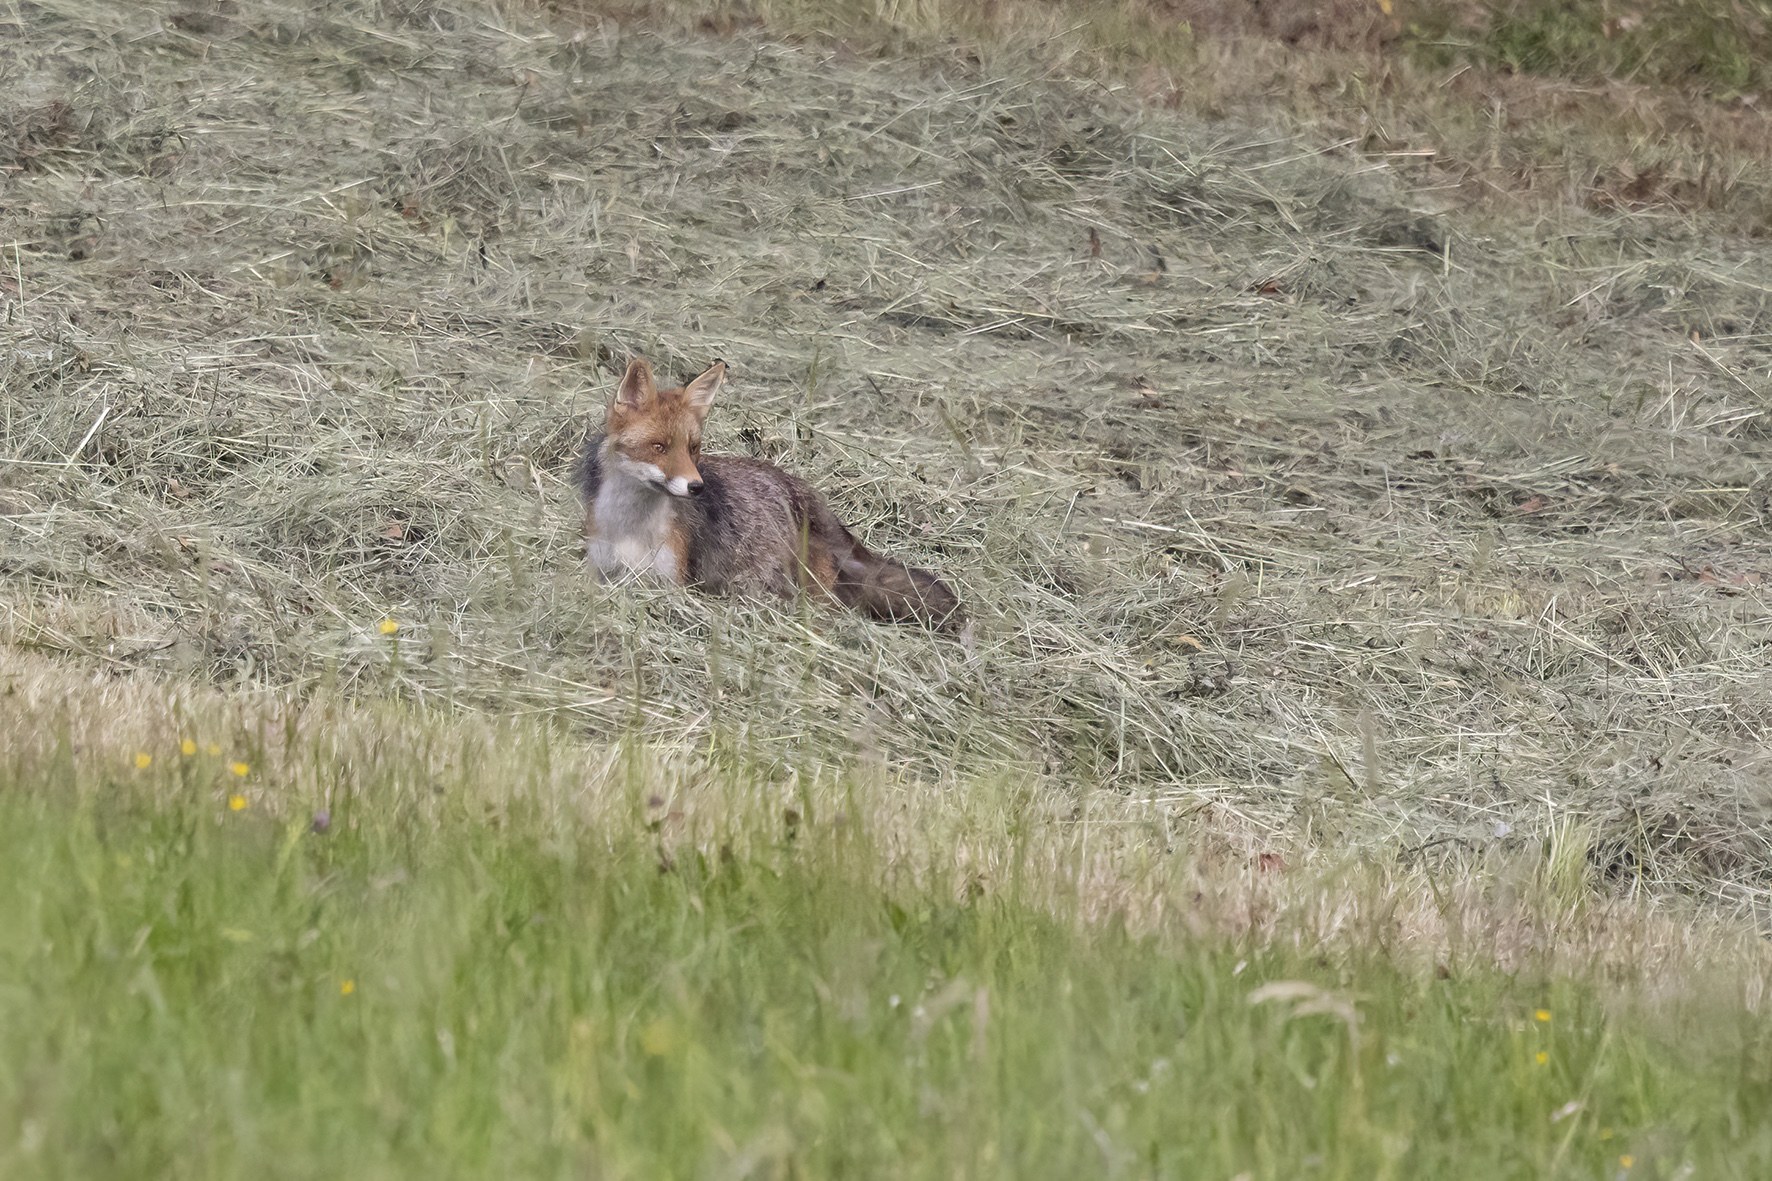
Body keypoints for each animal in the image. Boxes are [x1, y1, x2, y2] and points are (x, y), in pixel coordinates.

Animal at [575, 356, 963, 630]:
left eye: (693, 448)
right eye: (659, 447)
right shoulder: (602, 573)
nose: (697, 487)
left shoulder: (674, 583)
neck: (630, 528)